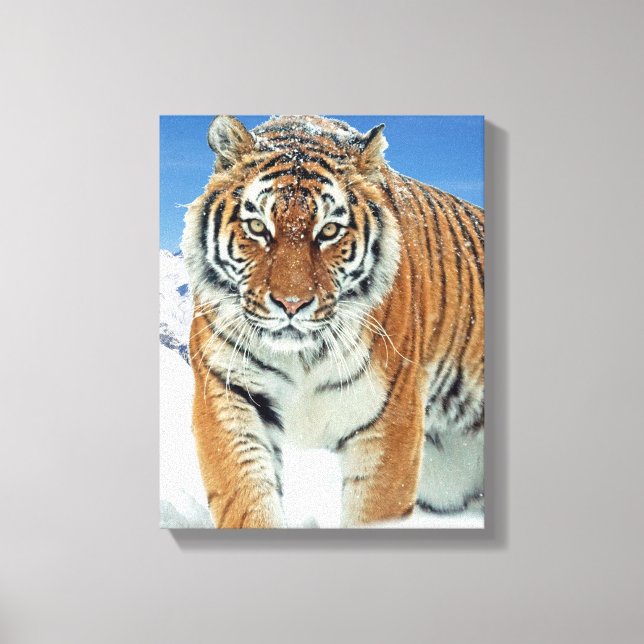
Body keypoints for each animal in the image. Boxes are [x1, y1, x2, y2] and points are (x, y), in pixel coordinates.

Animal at [181, 115, 484, 528]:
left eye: (328, 231)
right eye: (258, 227)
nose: (291, 304)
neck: (302, 356)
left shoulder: (389, 419)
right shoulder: (228, 393)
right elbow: (247, 498)